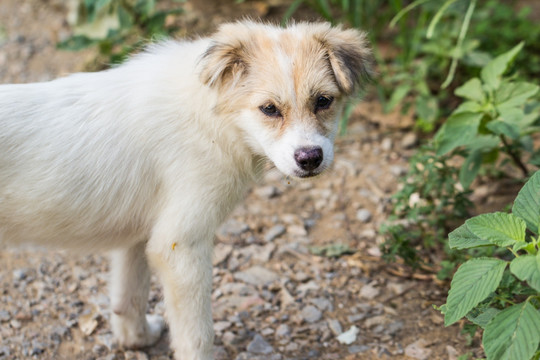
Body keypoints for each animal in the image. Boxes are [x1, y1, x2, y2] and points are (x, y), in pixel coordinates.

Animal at [0, 21, 372, 358]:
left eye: (323, 101)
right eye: (269, 109)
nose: (310, 158)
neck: (212, 115)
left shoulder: (141, 236)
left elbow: (129, 296)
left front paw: (137, 339)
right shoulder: (180, 246)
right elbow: (197, 336)